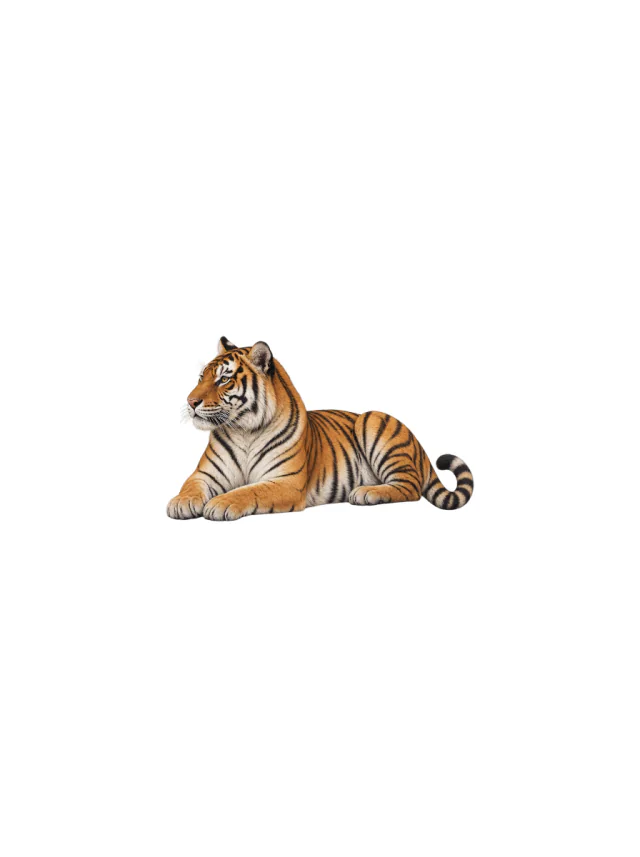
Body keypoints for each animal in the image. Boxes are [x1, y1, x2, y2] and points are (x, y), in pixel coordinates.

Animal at [167, 337, 474, 521]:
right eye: (201, 377)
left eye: (224, 380)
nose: (190, 402)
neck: (243, 430)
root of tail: (419, 446)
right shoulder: (204, 474)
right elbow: (189, 486)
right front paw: (181, 503)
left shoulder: (285, 482)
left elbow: (248, 491)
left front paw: (220, 504)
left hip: (372, 420)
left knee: (410, 487)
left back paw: (366, 493)